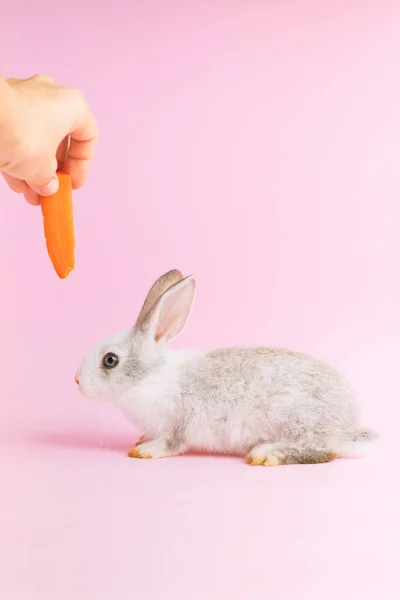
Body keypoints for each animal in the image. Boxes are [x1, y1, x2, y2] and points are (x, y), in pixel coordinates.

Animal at [74, 270, 376, 466]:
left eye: (110, 360)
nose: (76, 380)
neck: (150, 377)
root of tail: (346, 425)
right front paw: (140, 441)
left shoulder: (180, 422)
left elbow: (171, 444)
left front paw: (144, 451)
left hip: (295, 419)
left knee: (322, 451)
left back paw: (266, 454)